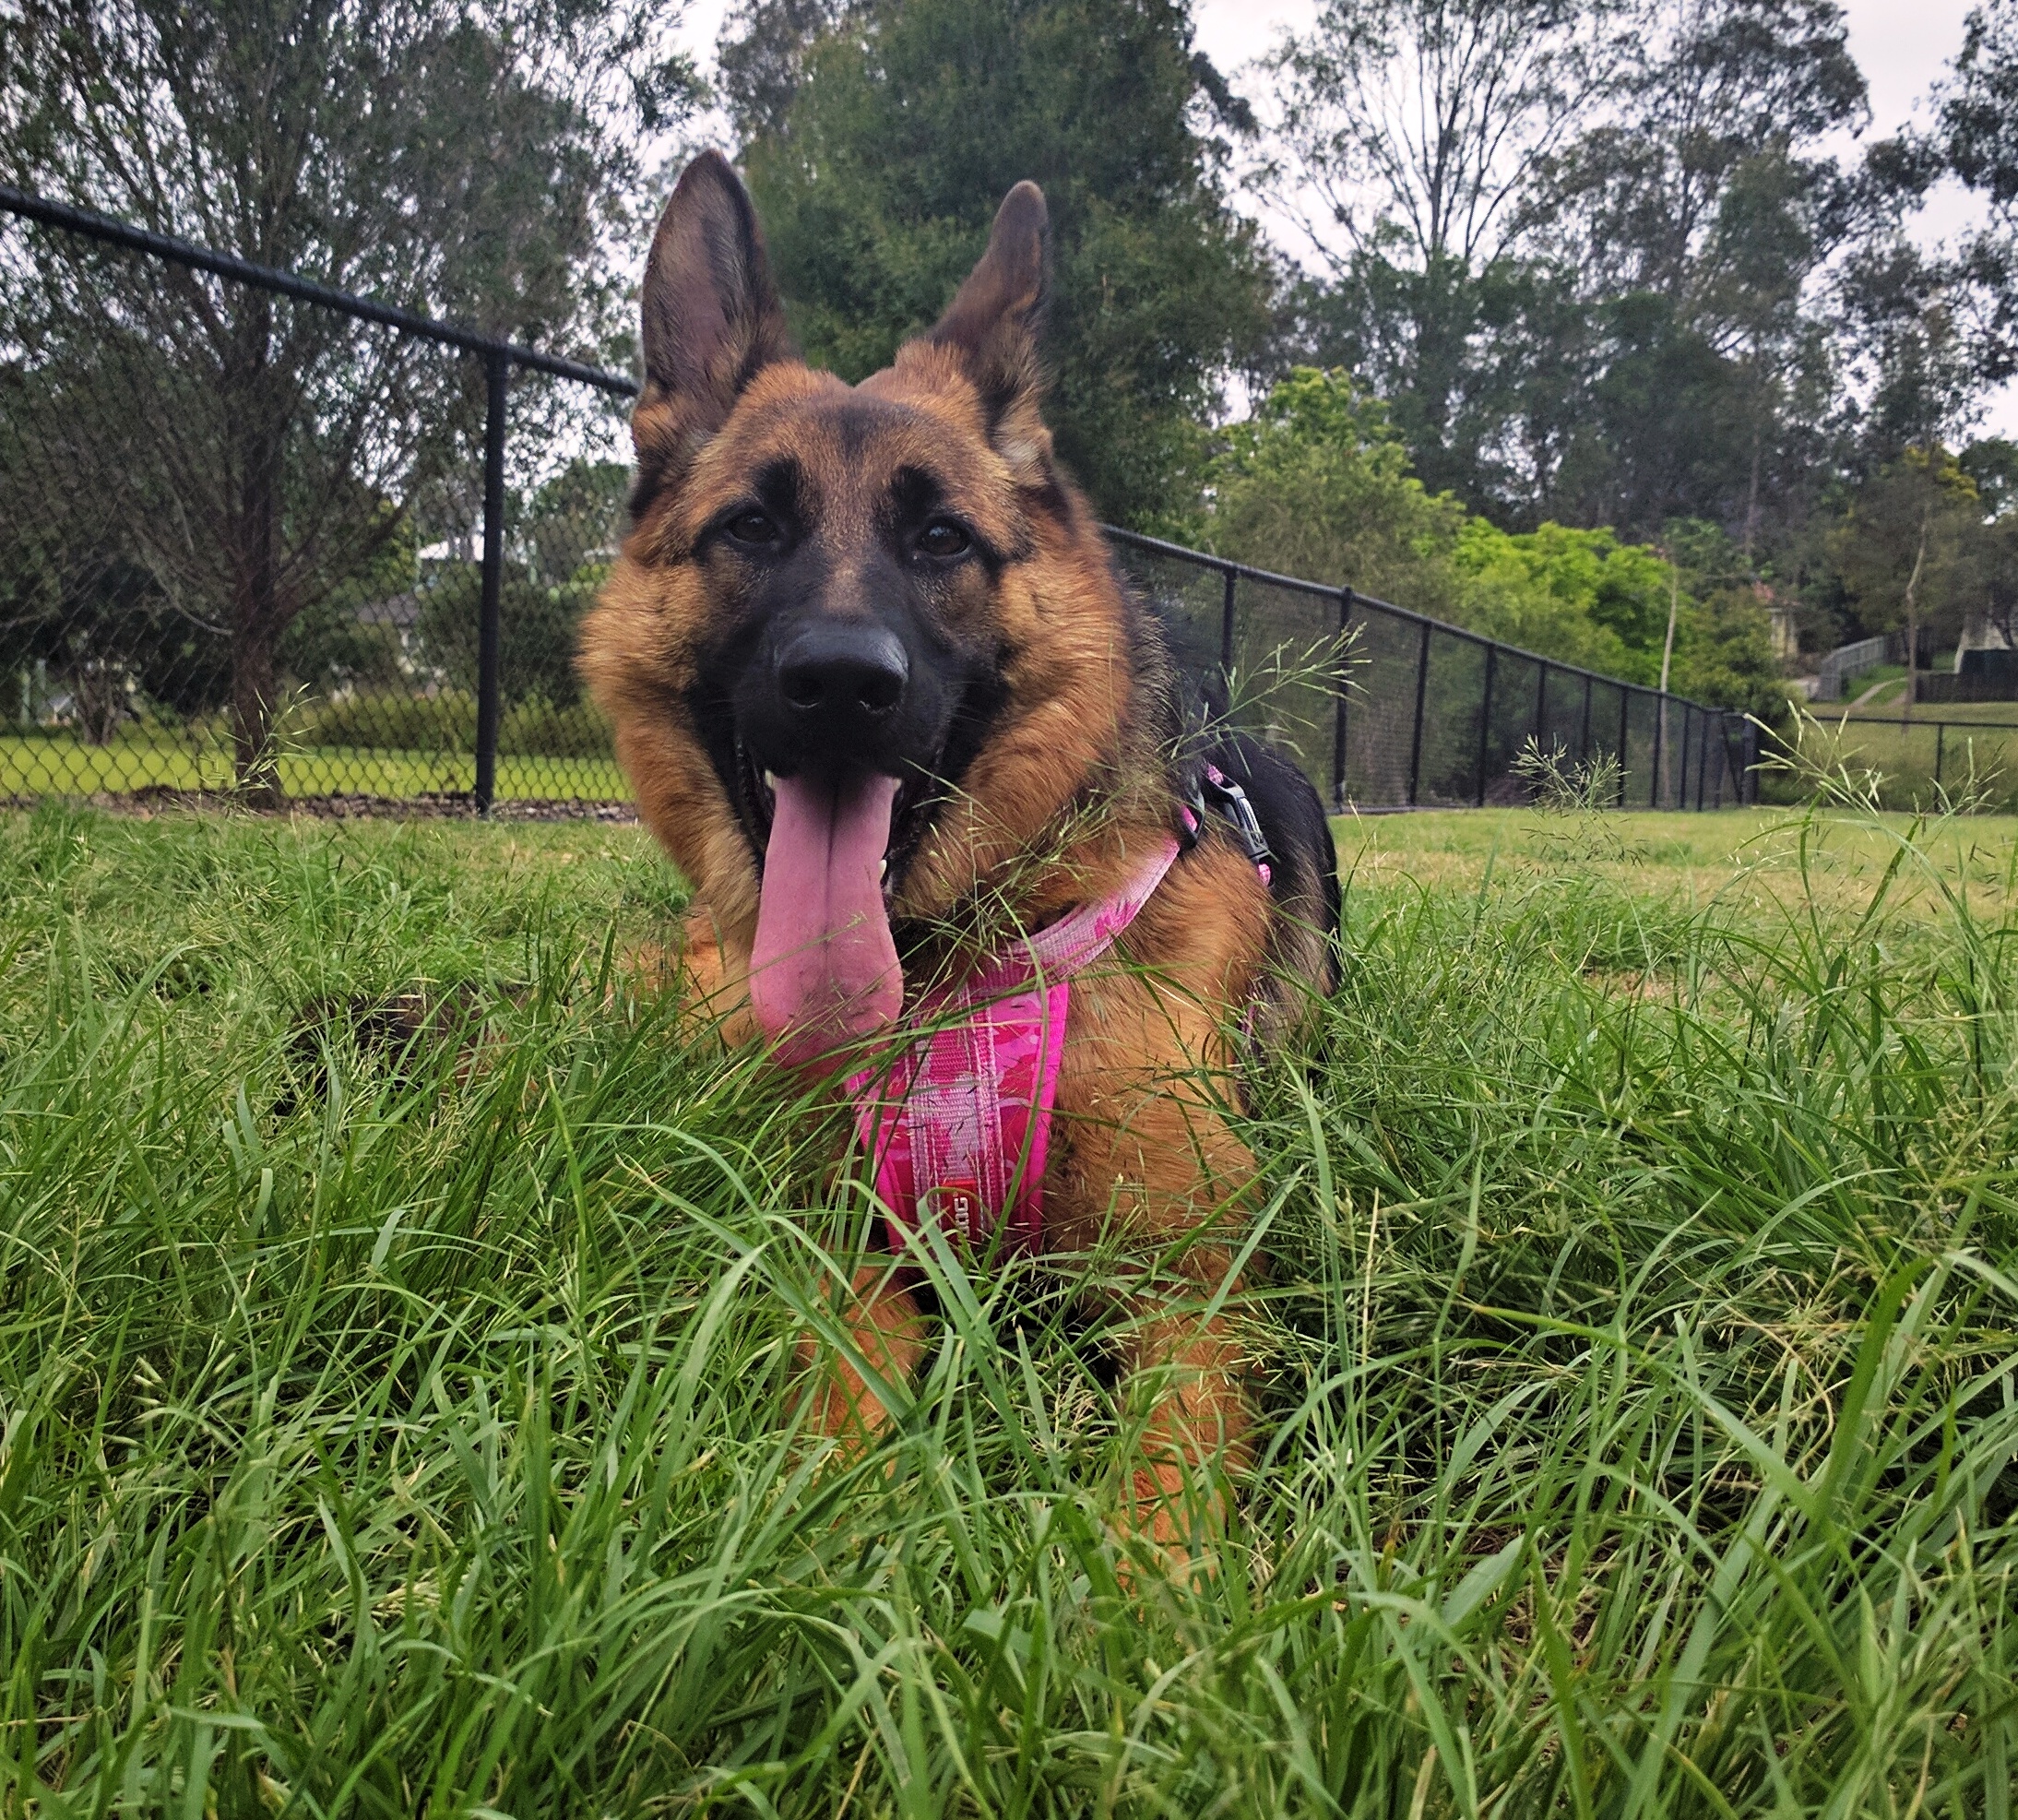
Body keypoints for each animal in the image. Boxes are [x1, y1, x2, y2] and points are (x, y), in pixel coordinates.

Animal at [585, 153, 1339, 1549]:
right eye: (749, 529)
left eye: (941, 540)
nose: (840, 683)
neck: (954, 975)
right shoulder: (848, 1260)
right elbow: (838, 1407)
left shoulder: (1195, 1299)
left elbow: (1163, 1486)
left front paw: (1142, 1594)